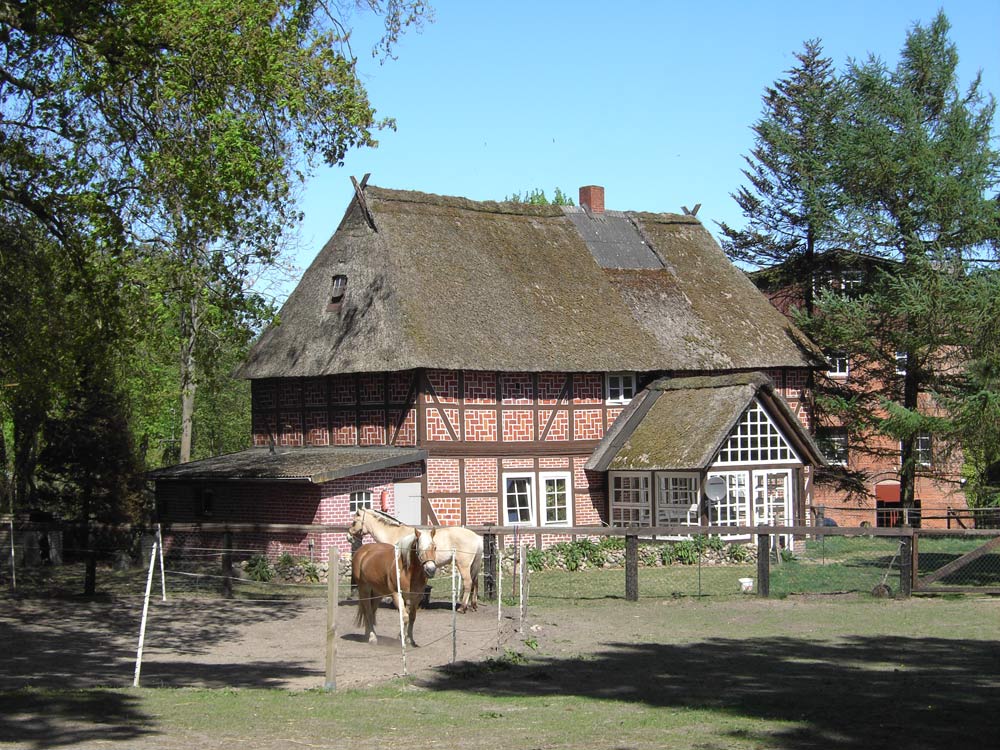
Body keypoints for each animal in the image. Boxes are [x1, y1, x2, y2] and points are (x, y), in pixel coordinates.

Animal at [348, 507, 483, 613]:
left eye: (354, 521)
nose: (349, 537)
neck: (394, 534)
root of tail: (476, 536)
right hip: (472, 566)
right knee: (475, 582)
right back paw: (473, 606)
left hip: (463, 566)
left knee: (468, 583)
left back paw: (462, 608)